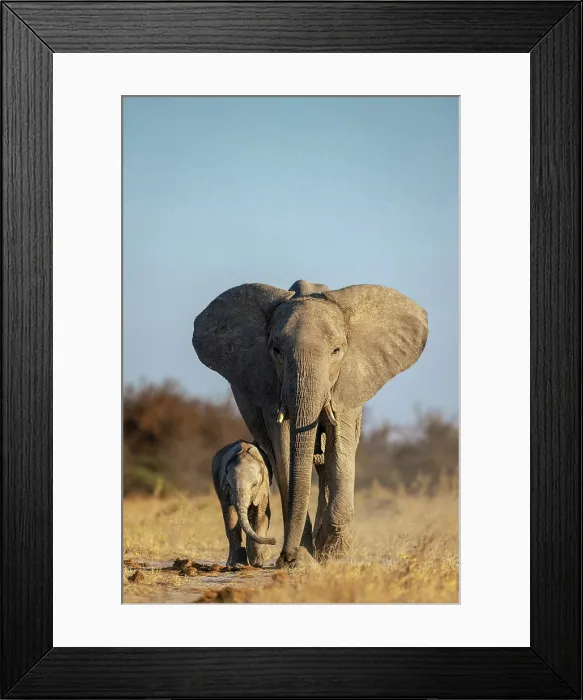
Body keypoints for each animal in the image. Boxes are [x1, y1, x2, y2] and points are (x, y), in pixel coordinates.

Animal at [194, 280, 428, 567]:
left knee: (327, 464)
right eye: (276, 351)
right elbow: (285, 451)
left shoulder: (347, 383)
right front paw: (303, 560)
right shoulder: (270, 388)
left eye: (336, 351)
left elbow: (340, 450)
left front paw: (330, 553)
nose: (285, 554)